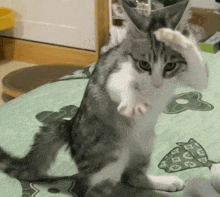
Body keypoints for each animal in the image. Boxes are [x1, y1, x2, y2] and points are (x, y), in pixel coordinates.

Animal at [0, 0, 208, 196]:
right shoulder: (115, 71)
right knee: (94, 189)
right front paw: (133, 101)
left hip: (144, 142)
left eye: (170, 66)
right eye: (144, 64)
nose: (157, 83)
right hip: (108, 153)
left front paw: (178, 39)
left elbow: (200, 76)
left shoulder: (192, 75)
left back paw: (162, 182)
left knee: (132, 176)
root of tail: (69, 126)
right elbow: (119, 84)